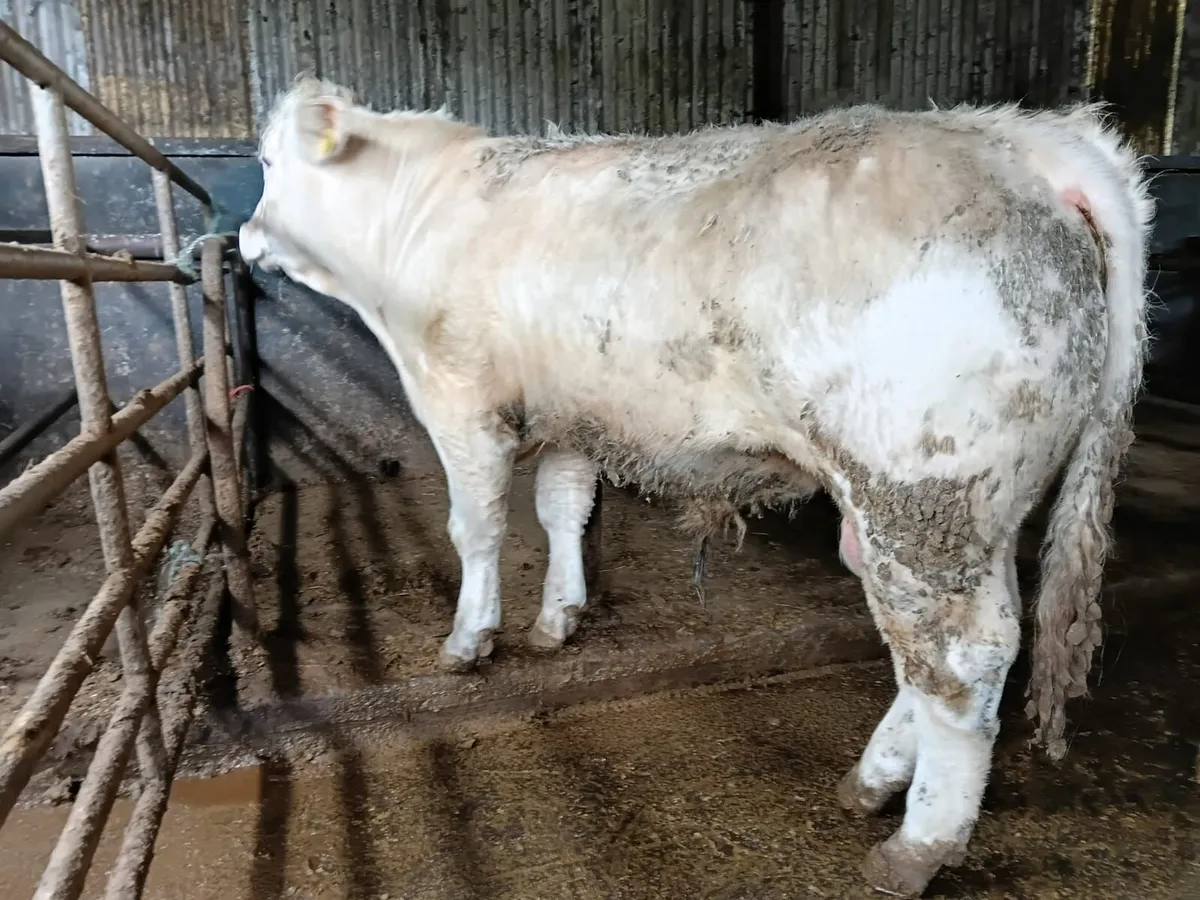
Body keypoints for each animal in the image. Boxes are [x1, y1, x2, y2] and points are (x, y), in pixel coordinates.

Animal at [238, 76, 1153, 897]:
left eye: (268, 160)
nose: (244, 236)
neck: (416, 214)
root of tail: (1023, 137)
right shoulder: (577, 413)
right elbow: (562, 508)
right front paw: (558, 619)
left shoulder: (460, 400)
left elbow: (479, 527)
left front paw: (470, 640)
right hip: (958, 510)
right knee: (948, 645)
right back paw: (875, 778)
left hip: (921, 492)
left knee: (961, 656)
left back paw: (918, 843)